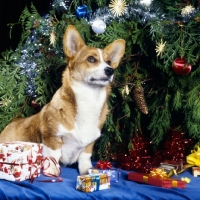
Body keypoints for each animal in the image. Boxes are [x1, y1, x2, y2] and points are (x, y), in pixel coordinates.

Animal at [0, 25, 125, 175]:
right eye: (91, 59)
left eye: (109, 62)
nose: (110, 70)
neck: (89, 98)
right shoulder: (52, 137)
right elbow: (53, 156)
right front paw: (53, 171)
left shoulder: (89, 145)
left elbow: (85, 158)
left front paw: (87, 172)